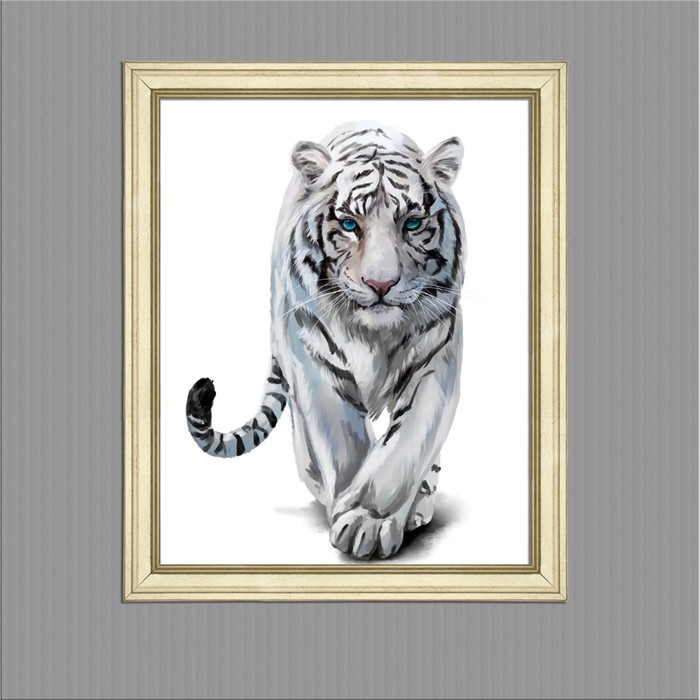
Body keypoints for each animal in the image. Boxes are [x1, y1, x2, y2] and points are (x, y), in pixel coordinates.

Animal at [186, 121, 465, 559]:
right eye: (349, 225)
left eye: (412, 224)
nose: (381, 284)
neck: (374, 334)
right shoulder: (312, 354)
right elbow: (342, 440)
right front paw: (354, 516)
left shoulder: (435, 355)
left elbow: (408, 443)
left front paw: (370, 518)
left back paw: (419, 506)